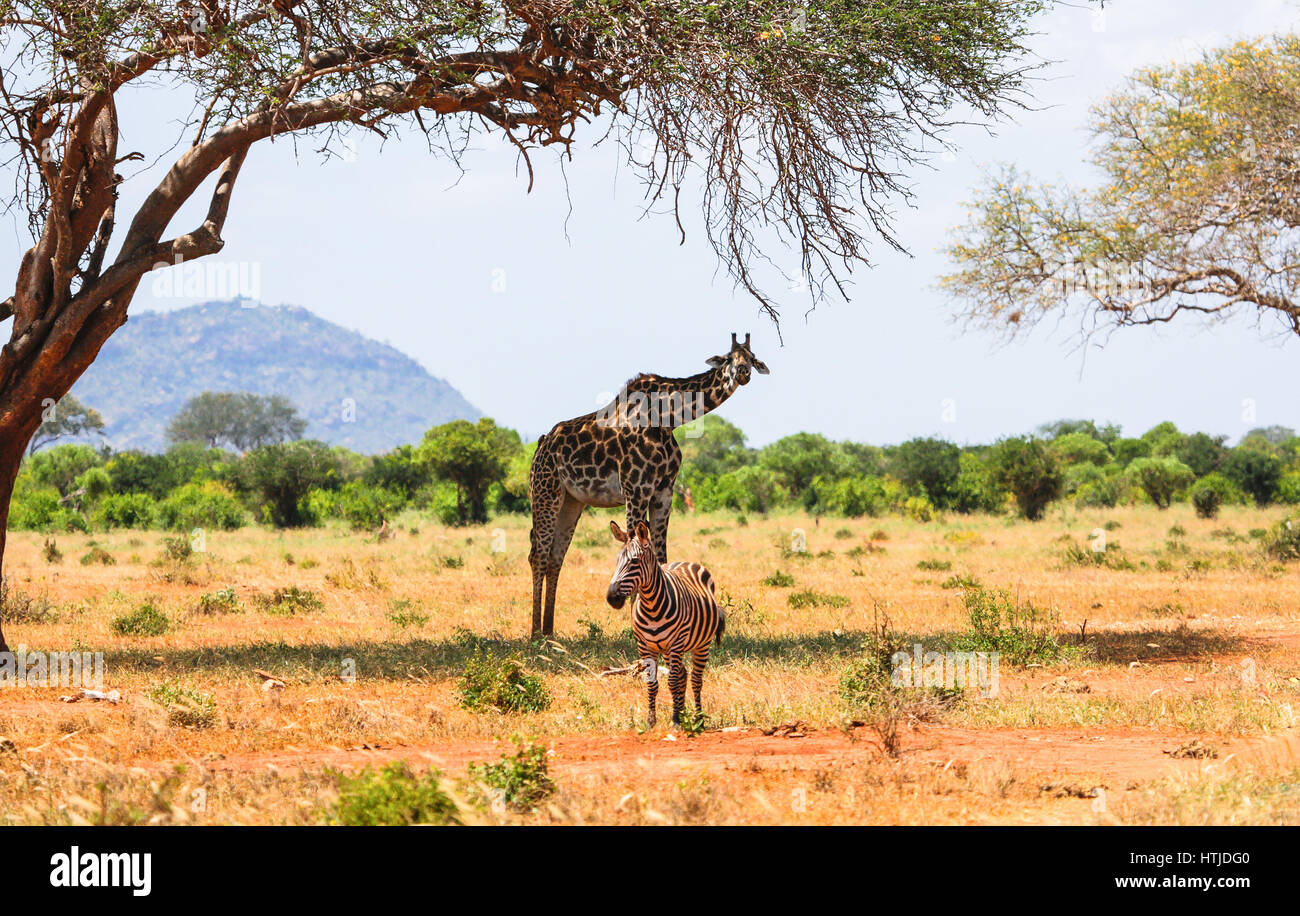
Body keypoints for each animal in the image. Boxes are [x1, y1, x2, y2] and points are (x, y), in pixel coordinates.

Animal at [528, 333, 769, 637]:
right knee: (538, 554)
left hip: (572, 501)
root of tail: (541, 445)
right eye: (728, 358)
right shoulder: (636, 489)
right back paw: (535, 632)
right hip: (545, 492)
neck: (667, 419)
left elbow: (661, 556)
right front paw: (637, 625)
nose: (743, 373)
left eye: (752, 358)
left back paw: (549, 631)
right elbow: (635, 548)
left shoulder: (664, 491)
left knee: (555, 557)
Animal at [606, 519, 725, 727]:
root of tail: (686, 562)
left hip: (700, 645)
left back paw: (698, 719)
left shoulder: (676, 644)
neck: (652, 606)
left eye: (634, 561)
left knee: (695, 679)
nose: (612, 598)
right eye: (617, 560)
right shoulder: (645, 647)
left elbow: (672, 682)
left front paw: (675, 719)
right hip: (669, 651)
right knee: (683, 674)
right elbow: (652, 683)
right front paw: (651, 720)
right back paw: (684, 713)